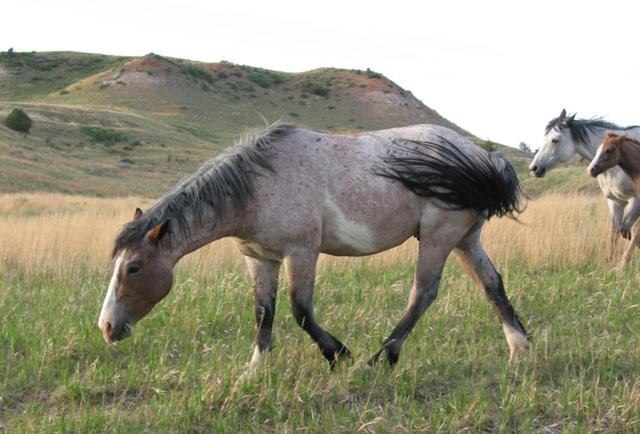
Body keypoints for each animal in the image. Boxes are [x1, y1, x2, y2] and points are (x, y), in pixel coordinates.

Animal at [97, 123, 528, 372]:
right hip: (465, 239)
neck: (255, 186)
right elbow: (263, 312)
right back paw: (518, 349)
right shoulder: (259, 259)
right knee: (492, 285)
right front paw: (256, 368)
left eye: (134, 267)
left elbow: (300, 311)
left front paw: (338, 355)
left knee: (423, 294)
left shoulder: (300, 252)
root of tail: (484, 156)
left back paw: (379, 359)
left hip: (439, 237)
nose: (106, 327)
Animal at [528, 108, 640, 264]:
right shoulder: (615, 202)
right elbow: (616, 232)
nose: (534, 168)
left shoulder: (635, 200)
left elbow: (628, 230)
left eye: (555, 140)